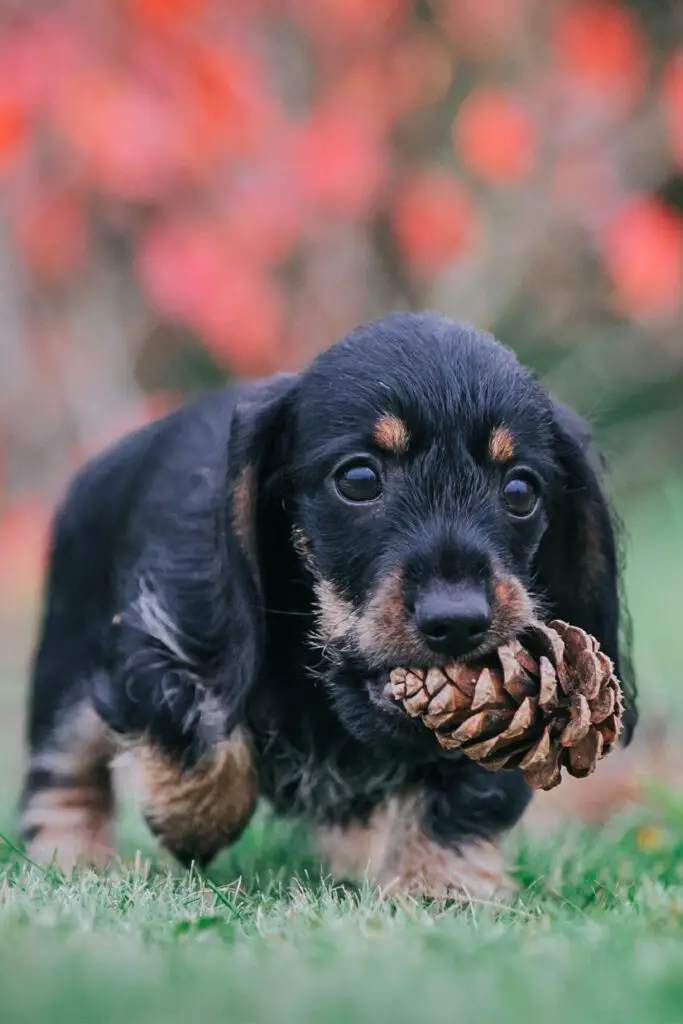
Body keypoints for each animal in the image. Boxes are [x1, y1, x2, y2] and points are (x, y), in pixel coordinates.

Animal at [18, 311, 638, 897]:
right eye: (358, 478)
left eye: (520, 490)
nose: (458, 621)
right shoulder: (162, 629)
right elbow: (199, 724)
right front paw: (189, 817)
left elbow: (464, 794)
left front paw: (438, 888)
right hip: (66, 672)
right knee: (63, 775)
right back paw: (73, 859)